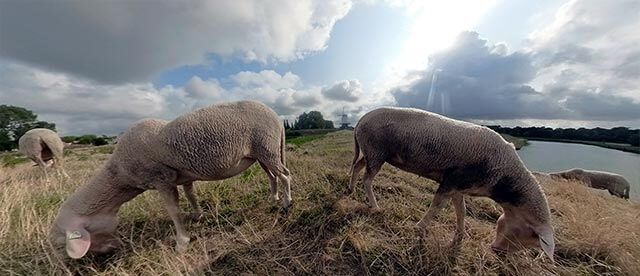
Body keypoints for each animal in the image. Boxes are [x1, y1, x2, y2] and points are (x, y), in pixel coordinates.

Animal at [50, 101, 290, 258]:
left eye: (63, 240)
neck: (120, 174)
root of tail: (276, 117)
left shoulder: (161, 179)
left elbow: (173, 211)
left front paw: (181, 243)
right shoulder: (183, 176)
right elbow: (191, 195)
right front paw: (197, 216)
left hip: (267, 148)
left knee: (285, 175)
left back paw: (287, 203)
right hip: (261, 154)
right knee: (273, 175)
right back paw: (274, 198)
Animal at [350, 106, 556, 262]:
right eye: (529, 235)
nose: (497, 251)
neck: (504, 180)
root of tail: (360, 120)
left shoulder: (460, 186)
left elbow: (461, 211)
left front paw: (459, 236)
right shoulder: (452, 179)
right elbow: (437, 206)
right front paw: (420, 228)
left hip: (371, 152)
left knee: (357, 166)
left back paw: (350, 189)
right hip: (377, 151)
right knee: (367, 179)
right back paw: (375, 206)